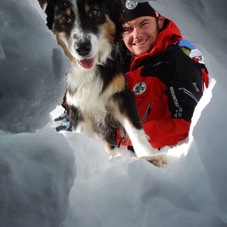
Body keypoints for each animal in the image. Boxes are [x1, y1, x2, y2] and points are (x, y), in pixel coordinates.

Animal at [38, 0, 167, 167]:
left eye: (93, 12)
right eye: (64, 18)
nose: (83, 49)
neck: (89, 70)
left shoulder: (120, 94)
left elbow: (135, 128)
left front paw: (149, 156)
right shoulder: (76, 107)